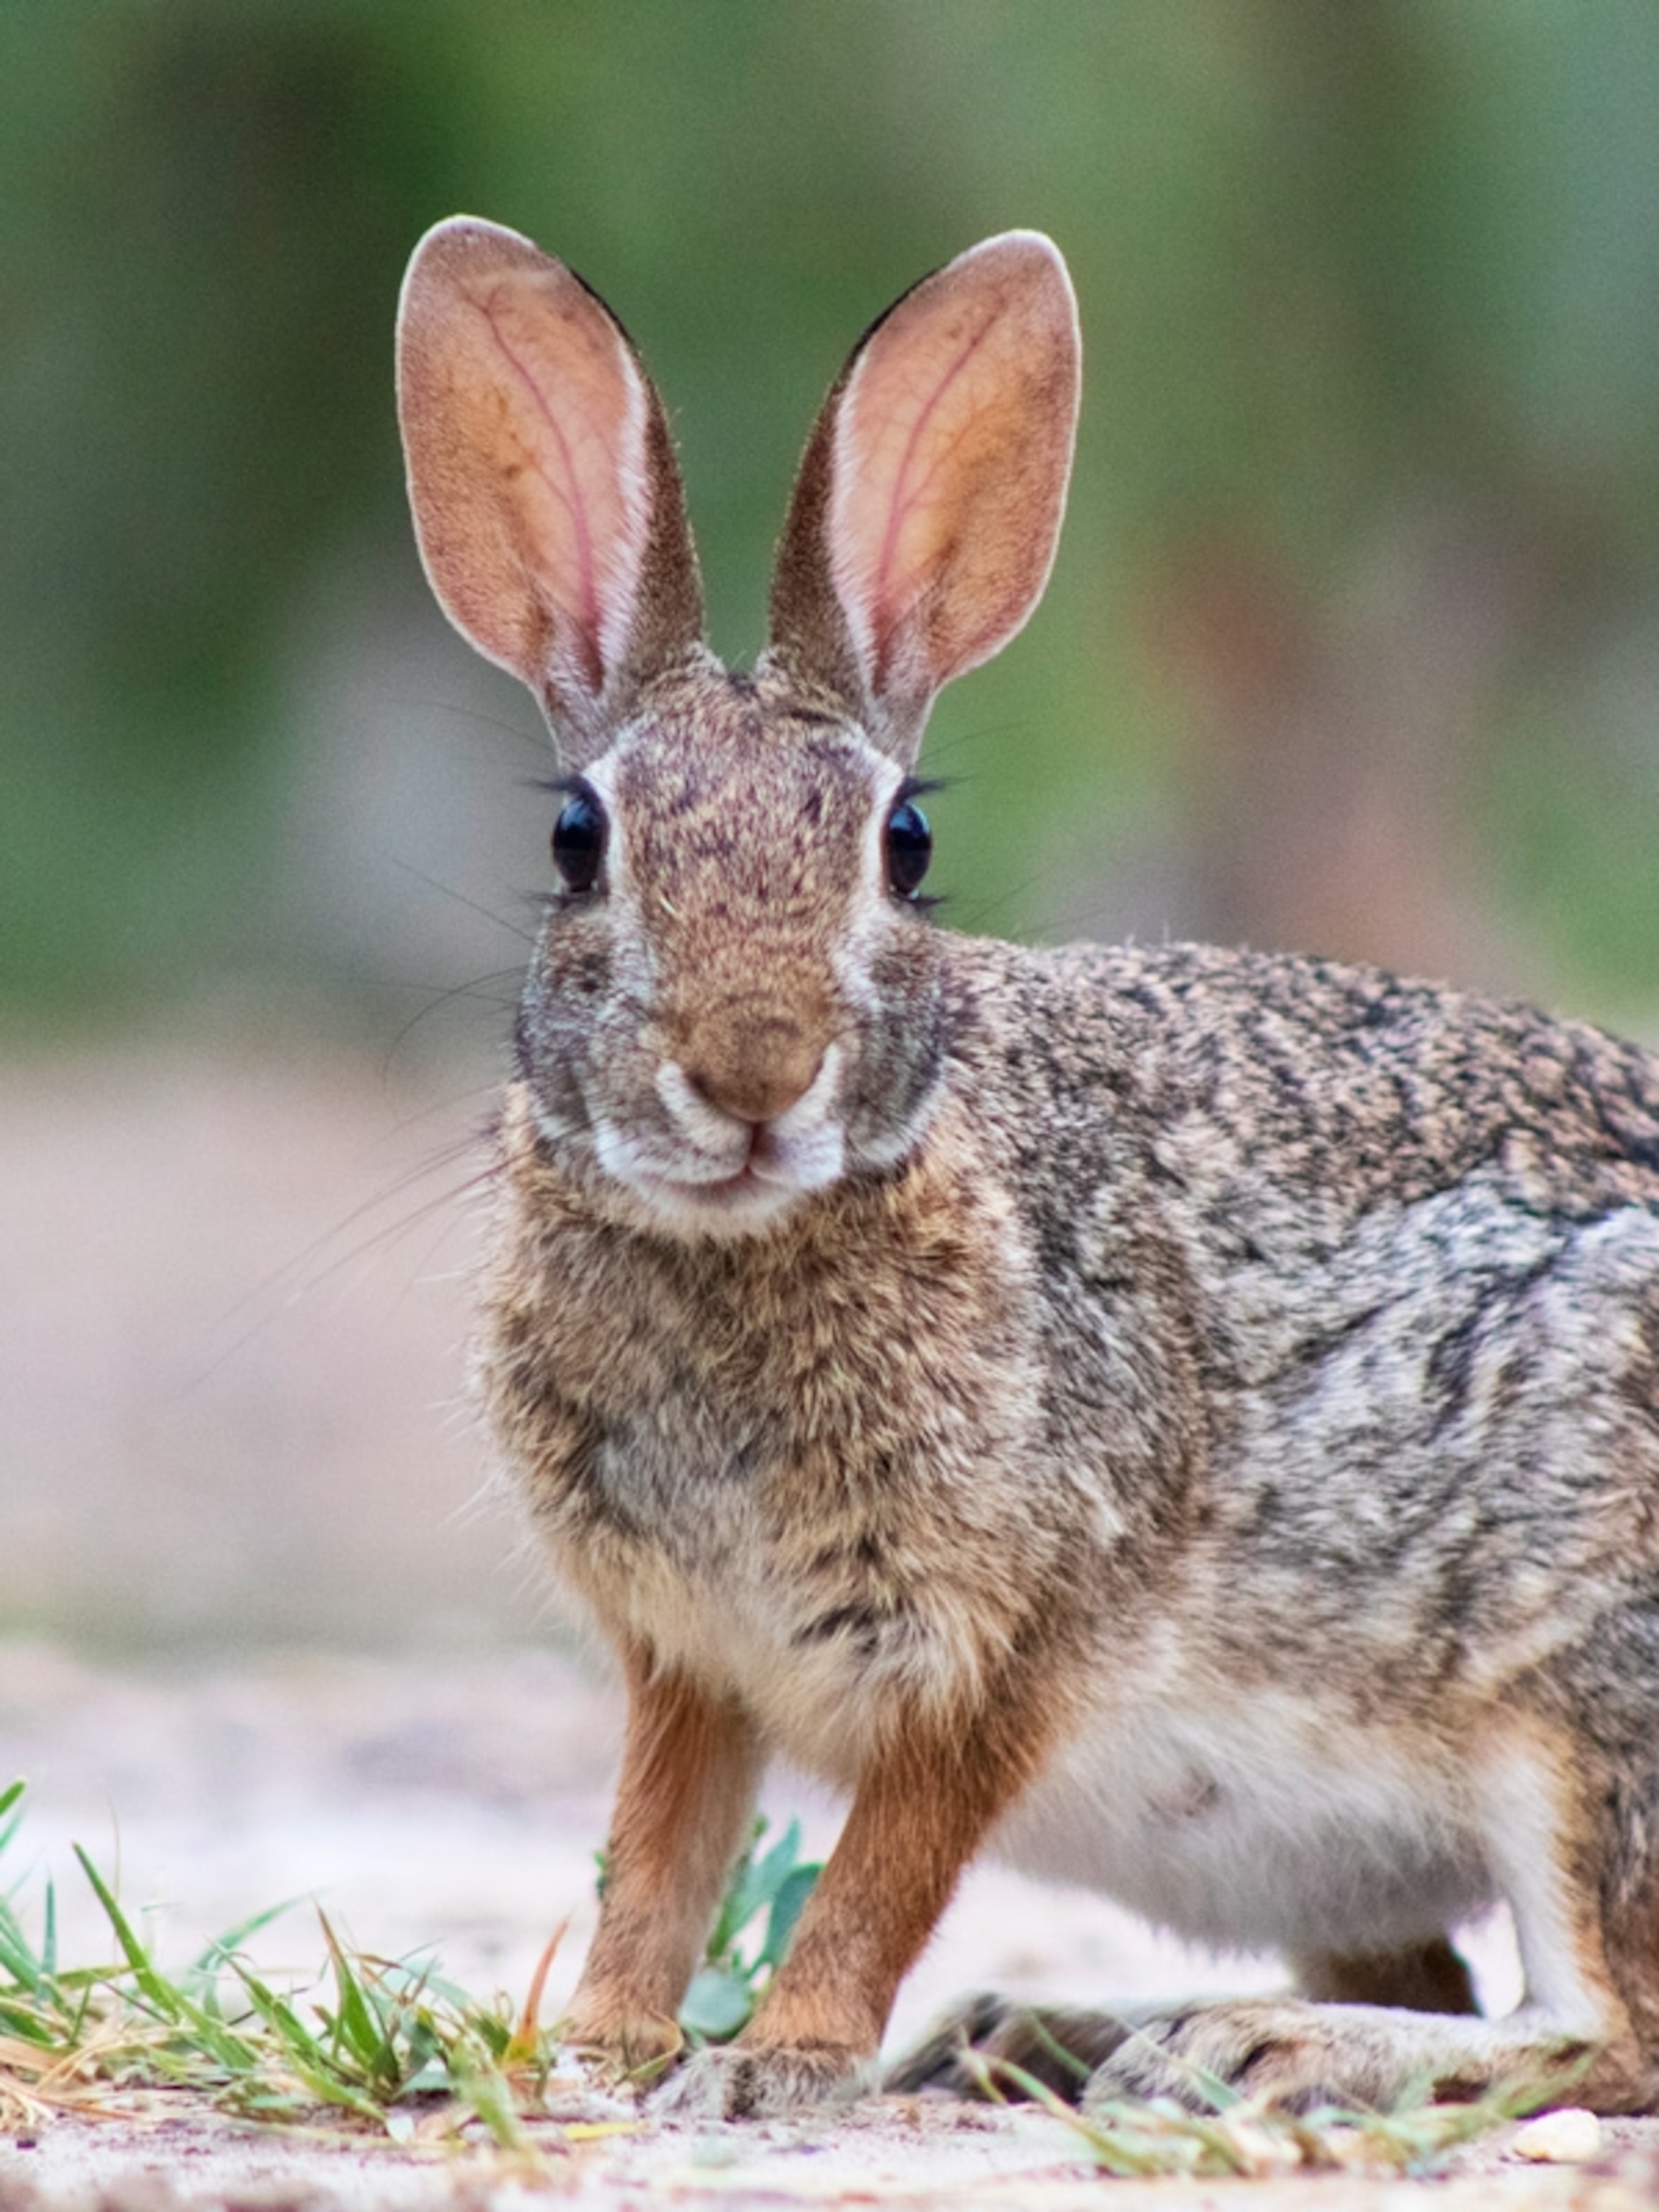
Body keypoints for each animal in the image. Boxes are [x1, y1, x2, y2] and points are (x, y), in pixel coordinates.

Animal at [395, 211, 1659, 2123]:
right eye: (576, 838)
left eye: (905, 846)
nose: (751, 1070)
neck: (757, 1237)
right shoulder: (689, 1660)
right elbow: (659, 1854)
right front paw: (599, 2048)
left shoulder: (1005, 1645)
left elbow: (880, 1873)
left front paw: (781, 2067)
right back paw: (1053, 2036)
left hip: (1579, 1695)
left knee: (1602, 2028)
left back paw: (1253, 2043)